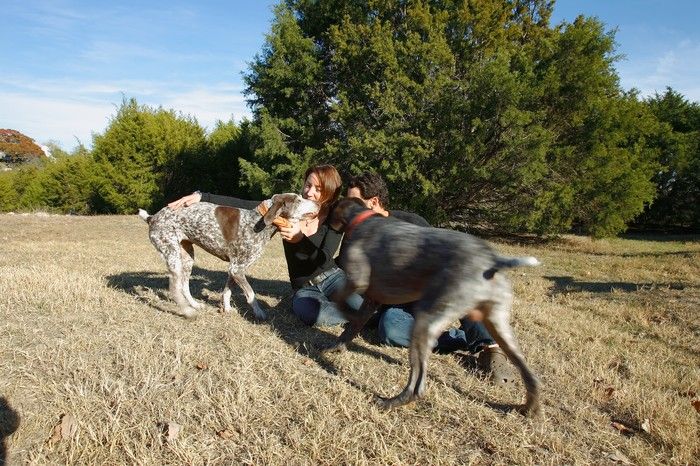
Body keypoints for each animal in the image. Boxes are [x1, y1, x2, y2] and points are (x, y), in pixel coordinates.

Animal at [138, 194, 318, 320]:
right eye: (298, 200)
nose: (317, 203)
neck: (260, 221)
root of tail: (153, 217)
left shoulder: (234, 268)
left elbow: (227, 291)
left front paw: (226, 308)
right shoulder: (237, 268)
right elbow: (251, 294)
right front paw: (259, 312)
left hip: (187, 257)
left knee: (183, 286)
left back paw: (195, 304)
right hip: (172, 254)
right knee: (175, 289)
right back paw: (188, 312)